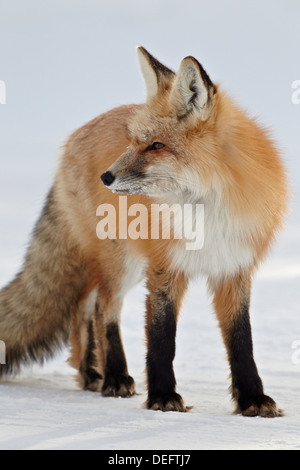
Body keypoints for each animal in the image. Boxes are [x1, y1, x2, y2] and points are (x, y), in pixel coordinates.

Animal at [0, 46, 288, 414]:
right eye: (134, 141)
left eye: (156, 146)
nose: (106, 177)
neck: (207, 211)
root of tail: (75, 137)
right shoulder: (164, 268)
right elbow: (162, 338)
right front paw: (163, 396)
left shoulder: (234, 268)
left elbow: (241, 341)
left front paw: (252, 398)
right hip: (122, 261)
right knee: (102, 309)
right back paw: (114, 376)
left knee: (82, 311)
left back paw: (91, 373)